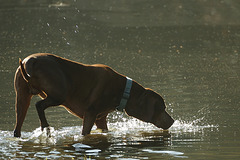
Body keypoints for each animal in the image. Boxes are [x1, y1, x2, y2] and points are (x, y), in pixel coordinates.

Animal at [13, 53, 174, 137]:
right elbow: (85, 132)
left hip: (22, 98)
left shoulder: (100, 118)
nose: (172, 121)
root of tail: (30, 61)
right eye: (162, 108)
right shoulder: (90, 113)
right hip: (59, 94)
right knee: (39, 105)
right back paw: (46, 127)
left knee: (17, 127)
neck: (123, 91)